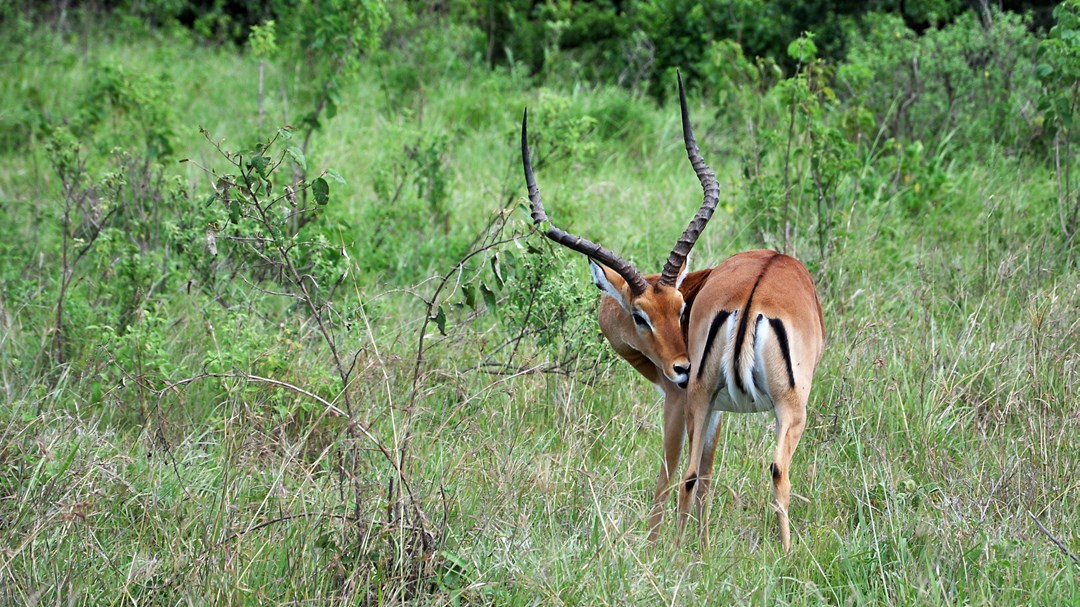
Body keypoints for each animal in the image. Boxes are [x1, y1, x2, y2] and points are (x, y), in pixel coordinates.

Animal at [522, 74, 825, 548]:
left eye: (681, 305)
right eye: (641, 315)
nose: (681, 367)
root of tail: (754, 297)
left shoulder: (678, 400)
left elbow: (670, 470)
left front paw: (659, 542)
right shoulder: (707, 405)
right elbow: (702, 473)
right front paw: (696, 546)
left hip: (750, 402)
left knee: (712, 473)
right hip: (754, 403)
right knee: (727, 473)